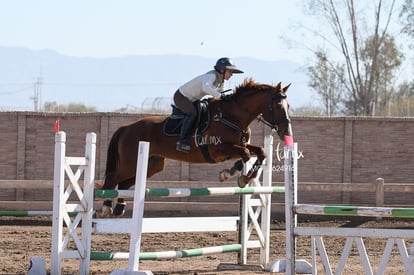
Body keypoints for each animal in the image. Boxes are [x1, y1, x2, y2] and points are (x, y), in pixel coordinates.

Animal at [98, 78, 292, 217]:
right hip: (130, 163)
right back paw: (106, 207)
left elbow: (260, 152)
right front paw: (240, 177)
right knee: (113, 178)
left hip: (151, 165)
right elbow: (244, 154)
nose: (286, 131)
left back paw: (119, 206)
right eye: (278, 105)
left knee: (125, 183)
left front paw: (233, 174)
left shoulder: (237, 146)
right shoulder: (218, 149)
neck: (232, 116)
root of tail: (126, 128)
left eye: (288, 105)